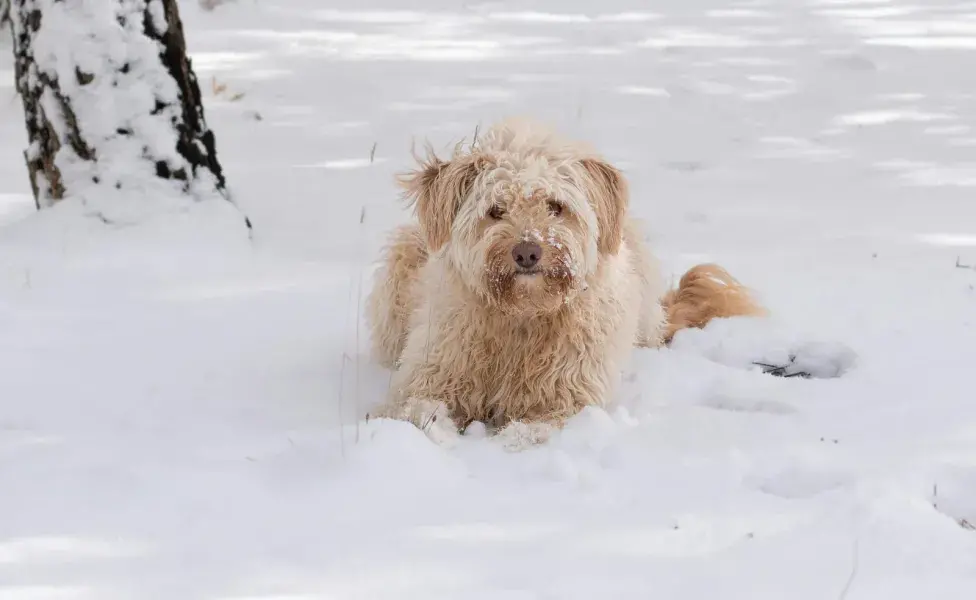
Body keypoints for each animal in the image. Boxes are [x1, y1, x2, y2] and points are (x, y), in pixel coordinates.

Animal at [366, 118, 764, 446]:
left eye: (556, 206)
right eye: (496, 210)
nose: (527, 252)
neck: (522, 319)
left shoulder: (569, 398)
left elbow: (531, 430)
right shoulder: (430, 374)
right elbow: (417, 410)